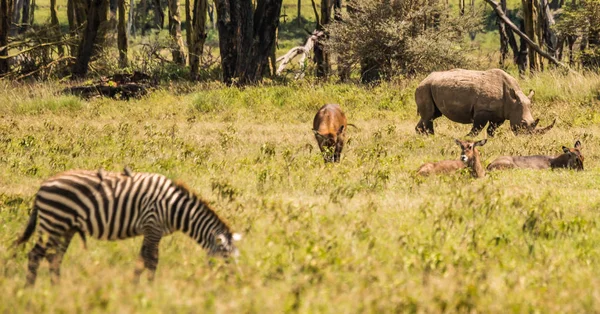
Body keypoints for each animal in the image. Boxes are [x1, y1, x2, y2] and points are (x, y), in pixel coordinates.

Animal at [13, 169, 241, 284]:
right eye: (226, 258)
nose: (233, 283)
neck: (174, 208)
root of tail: (42, 186)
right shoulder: (153, 226)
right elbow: (151, 261)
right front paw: (150, 288)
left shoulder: (150, 230)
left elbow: (141, 261)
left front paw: (135, 288)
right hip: (54, 222)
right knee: (36, 255)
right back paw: (30, 290)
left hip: (65, 227)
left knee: (54, 258)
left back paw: (57, 288)